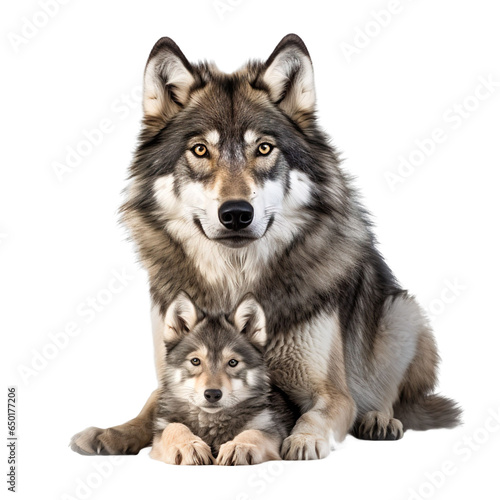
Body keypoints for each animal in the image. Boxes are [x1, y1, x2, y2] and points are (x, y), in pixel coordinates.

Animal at [70, 33, 460, 458]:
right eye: (200, 150)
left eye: (264, 149)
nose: (236, 213)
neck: (235, 283)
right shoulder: (172, 373)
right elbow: (154, 408)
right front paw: (115, 432)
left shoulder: (332, 393)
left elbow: (314, 417)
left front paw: (301, 439)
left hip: (401, 312)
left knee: (391, 394)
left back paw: (379, 419)